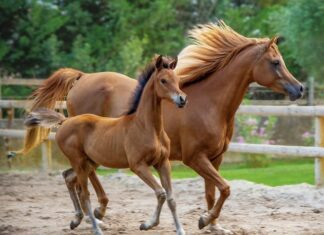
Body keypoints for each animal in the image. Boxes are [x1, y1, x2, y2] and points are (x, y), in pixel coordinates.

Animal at [24, 55, 187, 235]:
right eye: (163, 80)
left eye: (177, 79)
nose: (182, 99)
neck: (147, 127)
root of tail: (65, 121)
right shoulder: (138, 165)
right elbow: (161, 193)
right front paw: (148, 224)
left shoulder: (162, 163)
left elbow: (171, 198)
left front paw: (180, 230)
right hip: (79, 162)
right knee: (84, 194)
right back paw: (96, 227)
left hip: (88, 162)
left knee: (68, 177)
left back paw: (77, 219)